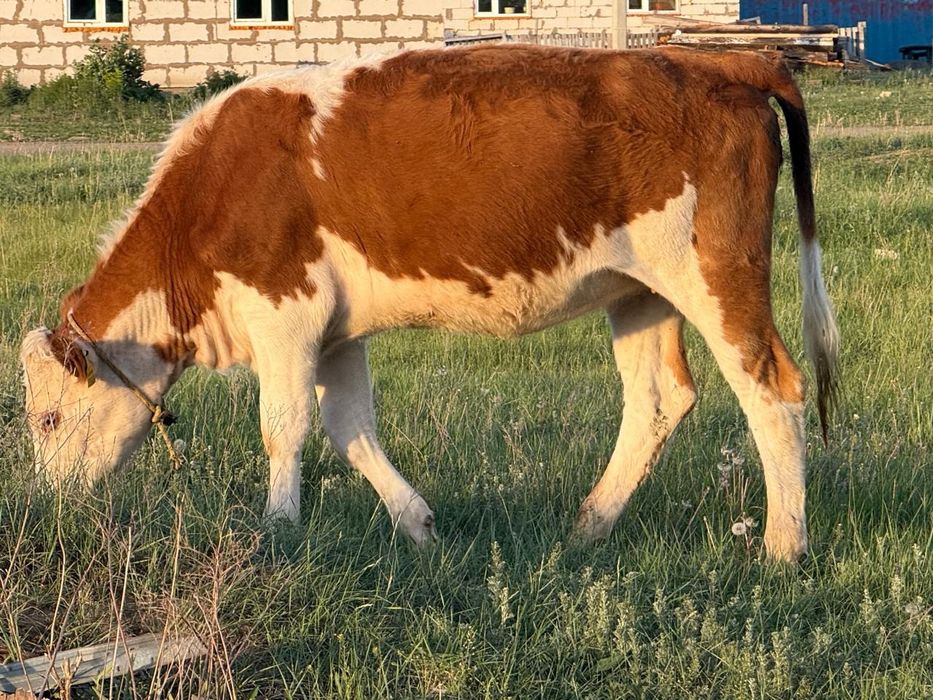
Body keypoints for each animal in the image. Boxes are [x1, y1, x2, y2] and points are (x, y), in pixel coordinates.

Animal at [21, 44, 838, 562]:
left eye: (49, 417)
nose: (53, 508)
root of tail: (718, 61)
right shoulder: (336, 331)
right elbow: (349, 428)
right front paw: (417, 527)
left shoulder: (284, 310)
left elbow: (283, 428)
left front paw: (278, 531)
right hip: (639, 292)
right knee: (659, 399)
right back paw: (587, 529)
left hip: (715, 275)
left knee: (773, 389)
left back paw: (782, 547)